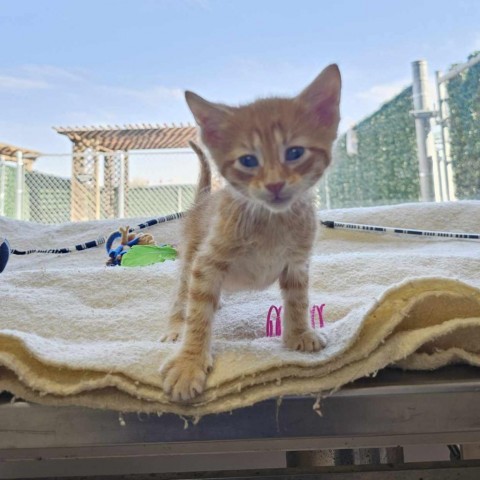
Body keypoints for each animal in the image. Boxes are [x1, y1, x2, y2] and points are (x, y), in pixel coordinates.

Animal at [161, 63, 342, 402]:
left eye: (294, 152)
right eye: (248, 160)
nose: (274, 184)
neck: (271, 220)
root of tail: (204, 200)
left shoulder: (297, 263)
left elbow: (298, 300)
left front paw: (299, 333)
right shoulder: (206, 262)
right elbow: (198, 315)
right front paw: (190, 362)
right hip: (190, 255)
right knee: (183, 294)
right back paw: (177, 324)